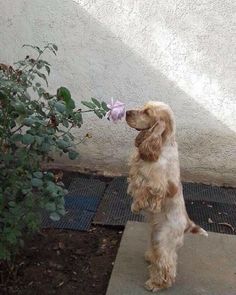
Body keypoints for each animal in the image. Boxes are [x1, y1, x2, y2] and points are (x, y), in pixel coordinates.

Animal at [126, 102, 207, 294]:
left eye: (147, 112)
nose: (126, 112)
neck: (162, 143)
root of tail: (187, 224)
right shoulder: (137, 168)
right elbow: (135, 182)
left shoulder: (157, 184)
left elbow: (145, 192)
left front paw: (137, 206)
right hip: (155, 235)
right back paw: (150, 257)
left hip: (164, 240)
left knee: (166, 266)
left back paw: (156, 283)